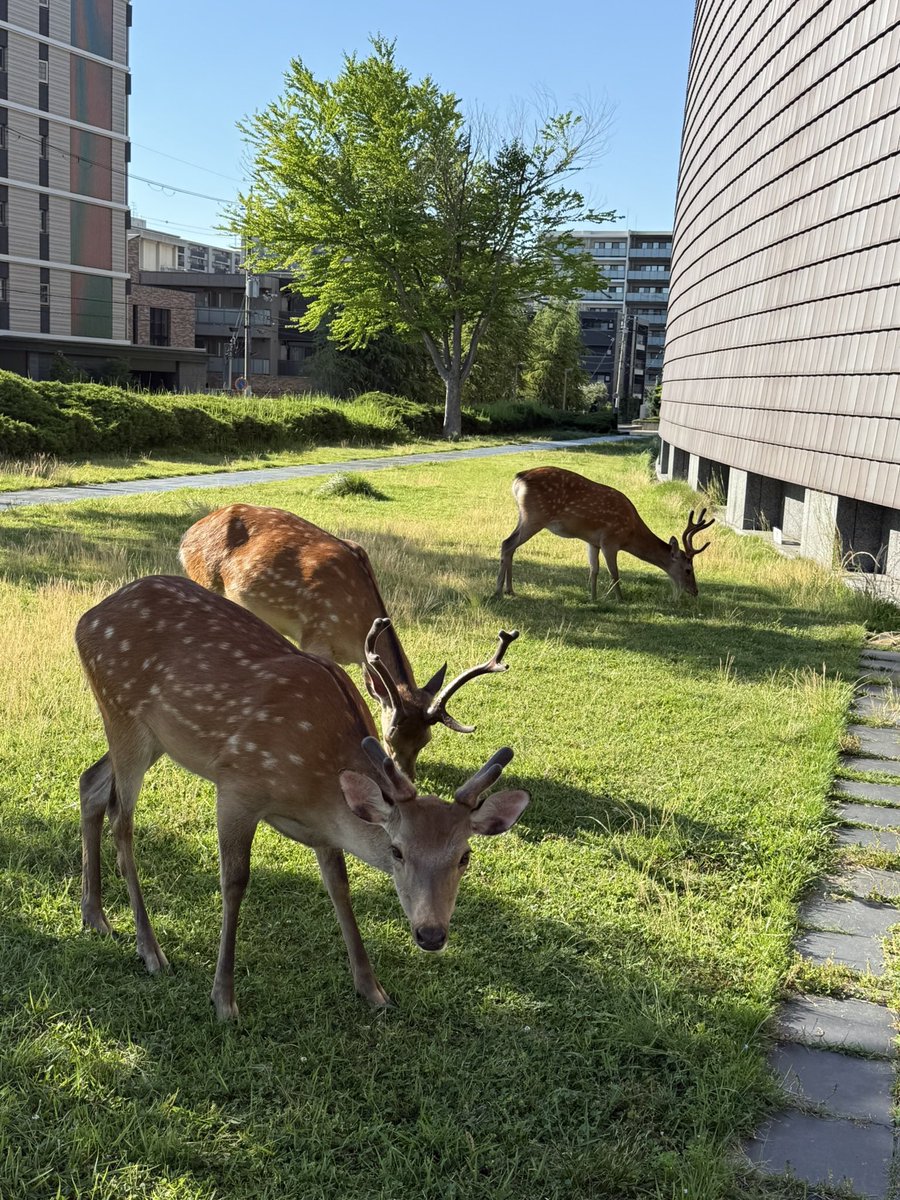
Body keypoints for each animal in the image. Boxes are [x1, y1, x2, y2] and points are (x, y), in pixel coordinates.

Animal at [75, 575, 529, 1021]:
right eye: (398, 851)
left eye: (465, 856)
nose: (431, 934)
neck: (315, 786)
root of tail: (86, 620)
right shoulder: (237, 784)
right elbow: (234, 882)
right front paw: (224, 999)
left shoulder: (325, 830)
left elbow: (339, 886)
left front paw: (373, 989)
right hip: (122, 714)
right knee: (121, 819)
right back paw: (151, 950)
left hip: (152, 737)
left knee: (90, 783)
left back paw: (95, 915)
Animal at [179, 504, 517, 779]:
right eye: (389, 736)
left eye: (426, 740)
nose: (408, 777)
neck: (354, 634)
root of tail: (186, 537)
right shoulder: (316, 634)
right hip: (205, 578)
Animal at [495, 466, 714, 601]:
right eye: (688, 569)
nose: (695, 591)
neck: (630, 534)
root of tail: (518, 479)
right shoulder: (610, 540)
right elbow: (614, 573)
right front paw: (620, 599)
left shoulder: (593, 542)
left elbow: (594, 570)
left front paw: (593, 598)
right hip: (536, 515)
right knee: (507, 543)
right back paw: (498, 591)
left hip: (524, 515)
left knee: (510, 546)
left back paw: (509, 589)